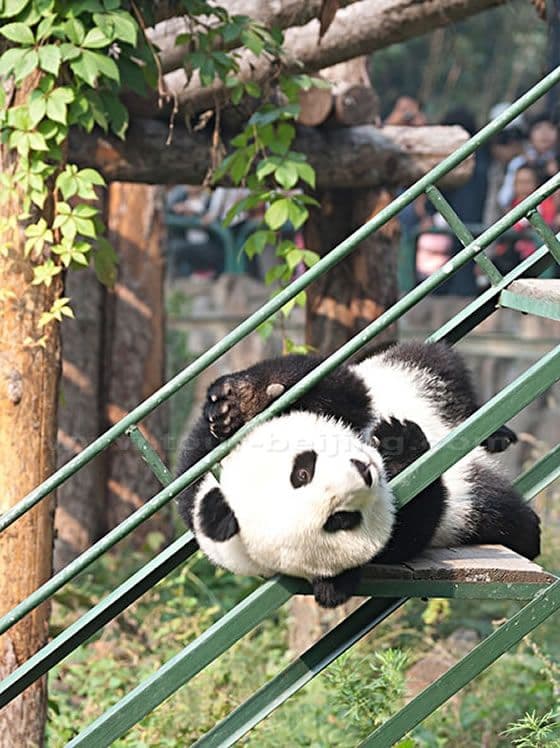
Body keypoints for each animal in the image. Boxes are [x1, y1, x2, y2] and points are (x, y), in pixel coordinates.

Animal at [176, 341, 540, 608]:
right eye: (340, 519)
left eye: (302, 470)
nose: (364, 470)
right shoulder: (389, 547)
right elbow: (415, 526)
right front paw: (405, 445)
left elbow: (331, 383)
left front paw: (236, 402)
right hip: (473, 507)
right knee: (510, 519)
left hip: (413, 374)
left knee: (440, 365)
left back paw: (498, 434)